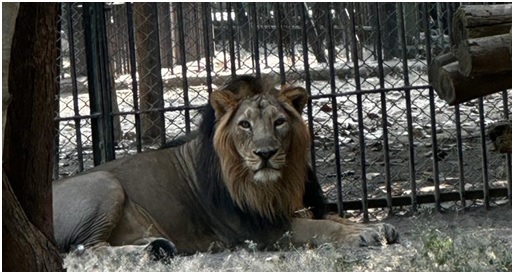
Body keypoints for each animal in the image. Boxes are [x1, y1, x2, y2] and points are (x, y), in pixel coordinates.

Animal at [53, 75, 396, 260]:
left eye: (279, 122)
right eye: (245, 124)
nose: (265, 153)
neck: (278, 184)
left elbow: (336, 218)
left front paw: (377, 227)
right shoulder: (261, 230)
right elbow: (324, 227)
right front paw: (363, 234)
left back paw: (157, 246)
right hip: (104, 181)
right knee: (84, 250)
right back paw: (148, 253)